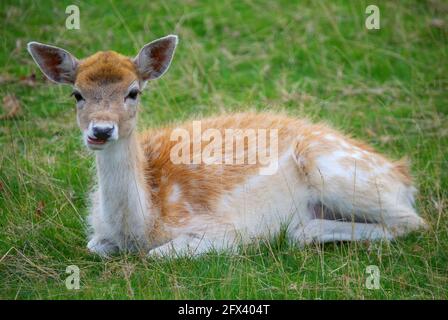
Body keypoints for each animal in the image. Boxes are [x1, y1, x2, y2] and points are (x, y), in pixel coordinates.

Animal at [28, 35, 428, 258]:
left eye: (133, 92)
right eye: (77, 94)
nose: (101, 130)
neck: (142, 225)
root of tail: (404, 178)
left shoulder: (219, 228)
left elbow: (162, 254)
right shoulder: (99, 235)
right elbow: (94, 247)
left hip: (336, 172)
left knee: (412, 222)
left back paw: (297, 232)